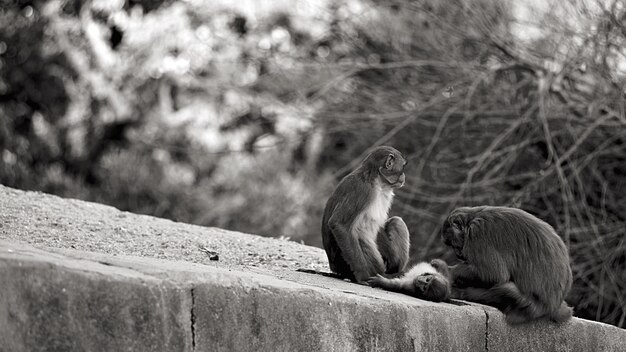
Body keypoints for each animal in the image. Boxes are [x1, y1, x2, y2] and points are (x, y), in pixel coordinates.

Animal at [322, 146, 410, 284]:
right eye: (402, 167)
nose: (404, 176)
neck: (377, 182)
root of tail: (335, 268)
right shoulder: (362, 190)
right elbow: (339, 225)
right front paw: (362, 274)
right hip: (346, 264)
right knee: (361, 236)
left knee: (396, 222)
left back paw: (394, 271)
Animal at [438, 206, 572, 324]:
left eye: (454, 244)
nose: (458, 254)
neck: (471, 219)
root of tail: (554, 307)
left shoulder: (478, 233)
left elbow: (492, 274)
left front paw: (448, 271)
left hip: (532, 307)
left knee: (507, 289)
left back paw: (460, 292)